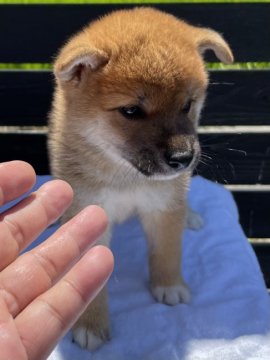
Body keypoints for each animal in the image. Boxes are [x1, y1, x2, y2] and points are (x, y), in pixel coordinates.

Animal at [47, 6, 233, 348]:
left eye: (187, 105)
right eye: (132, 111)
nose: (183, 158)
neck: (126, 175)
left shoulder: (164, 205)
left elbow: (167, 252)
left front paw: (169, 285)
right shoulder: (88, 212)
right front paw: (91, 324)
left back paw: (190, 215)